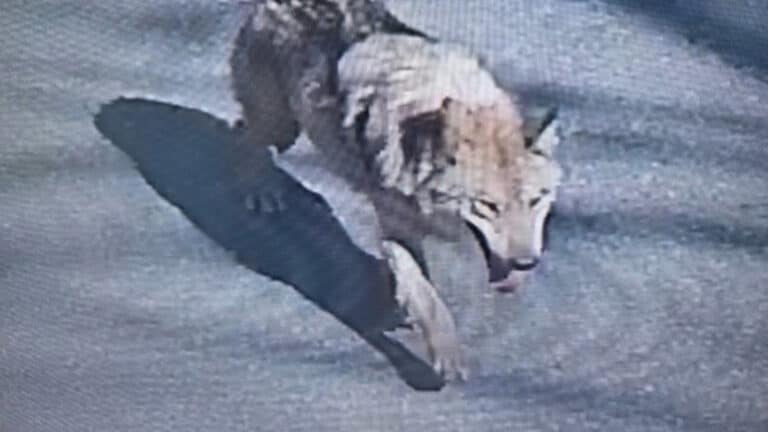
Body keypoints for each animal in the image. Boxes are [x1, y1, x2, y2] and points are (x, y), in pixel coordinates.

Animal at [229, 0, 562, 381]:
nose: (526, 263)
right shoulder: (395, 227)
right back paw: (259, 190)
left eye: (535, 201)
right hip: (281, 127)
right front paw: (446, 354)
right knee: (243, 132)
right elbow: (428, 296)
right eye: (488, 206)